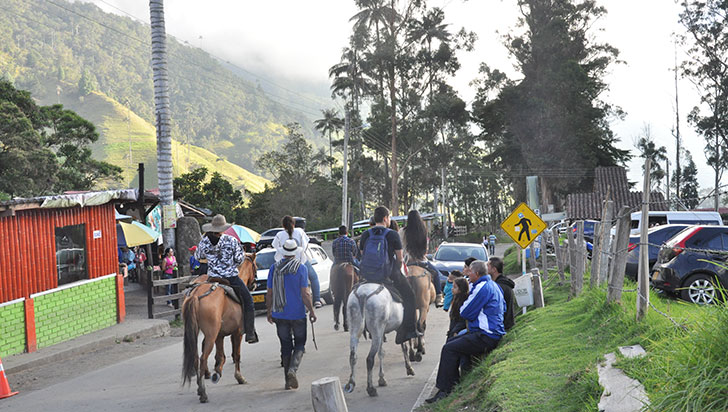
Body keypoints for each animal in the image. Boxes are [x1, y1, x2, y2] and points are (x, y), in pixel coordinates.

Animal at [181, 253, 256, 404]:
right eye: (255, 266)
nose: (255, 283)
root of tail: (195, 295)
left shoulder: (220, 335)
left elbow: (220, 356)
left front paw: (218, 370)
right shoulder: (237, 332)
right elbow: (236, 354)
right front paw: (239, 377)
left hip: (198, 331)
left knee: (196, 357)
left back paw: (201, 384)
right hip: (211, 334)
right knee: (203, 358)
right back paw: (203, 392)